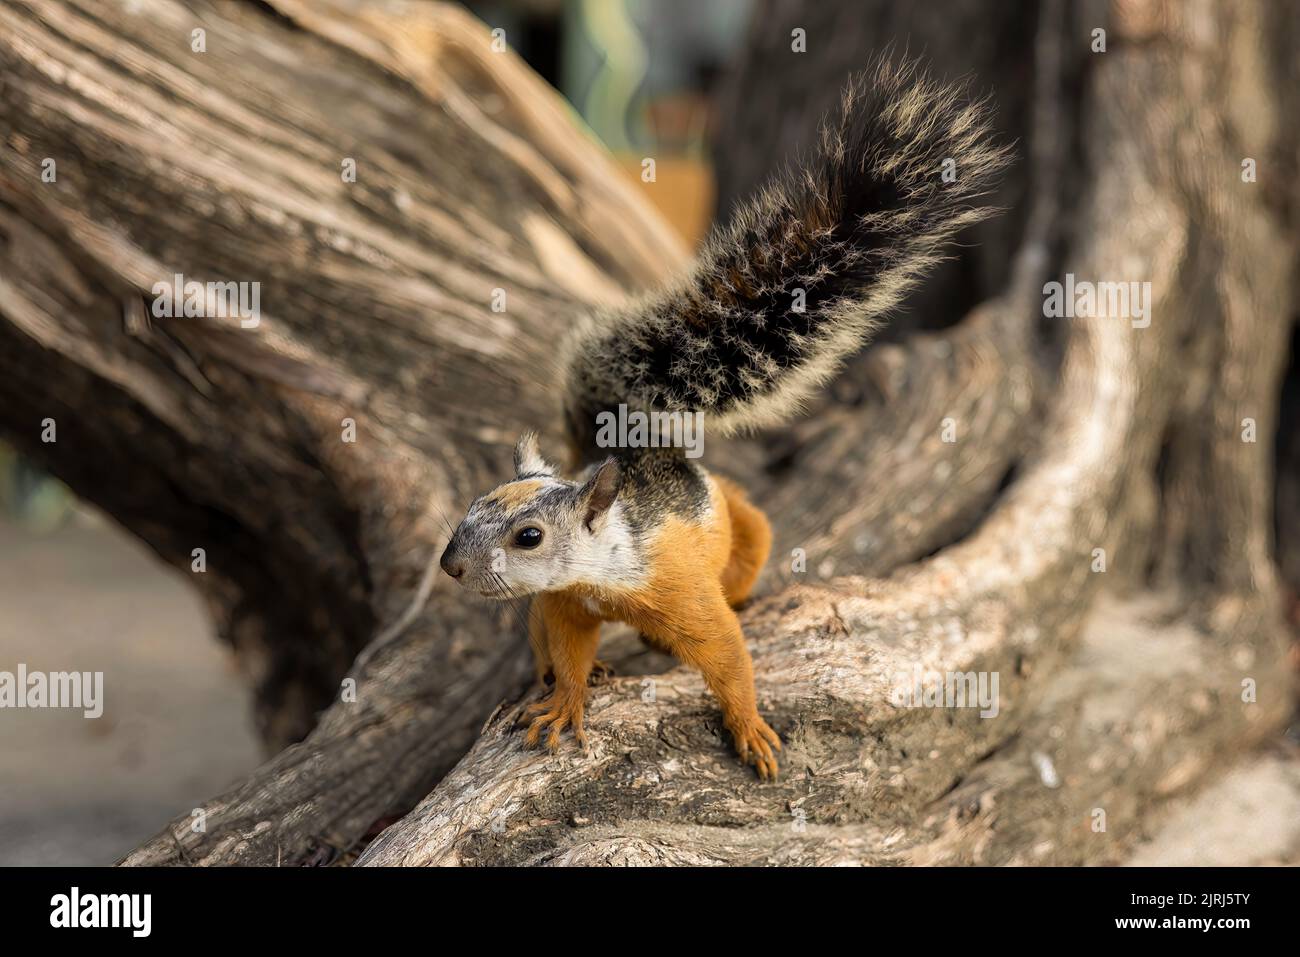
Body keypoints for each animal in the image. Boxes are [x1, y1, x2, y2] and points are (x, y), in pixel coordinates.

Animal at [441, 55, 1008, 780]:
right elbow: (564, 647)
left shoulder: (680, 590)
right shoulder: (566, 602)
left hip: (743, 529)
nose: (451, 566)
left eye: (529, 537)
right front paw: (566, 697)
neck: (606, 572)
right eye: (473, 505)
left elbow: (726, 654)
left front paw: (750, 728)